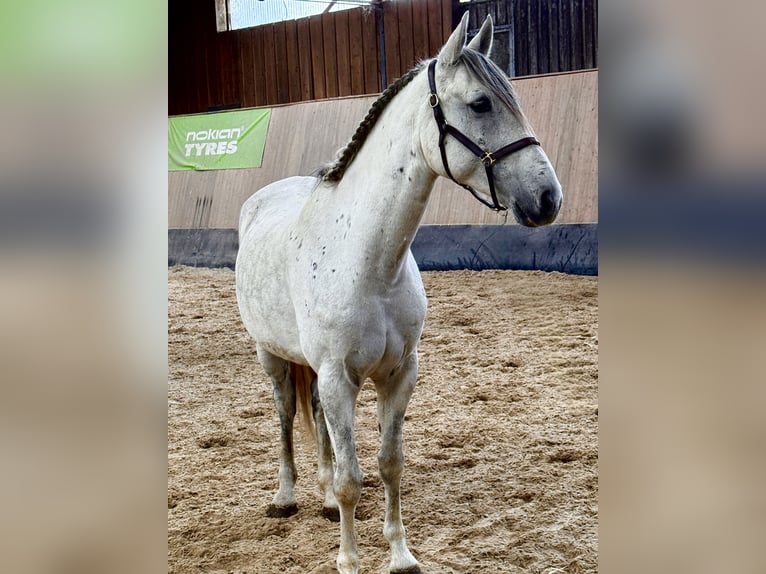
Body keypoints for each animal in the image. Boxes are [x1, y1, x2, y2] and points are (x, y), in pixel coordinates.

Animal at [235, 13, 563, 574]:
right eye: (481, 103)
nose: (548, 198)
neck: (370, 265)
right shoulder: (338, 377)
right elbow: (352, 478)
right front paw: (348, 561)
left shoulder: (397, 375)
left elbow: (389, 465)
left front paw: (401, 555)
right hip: (272, 357)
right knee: (285, 418)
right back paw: (286, 497)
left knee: (318, 424)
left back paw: (322, 499)